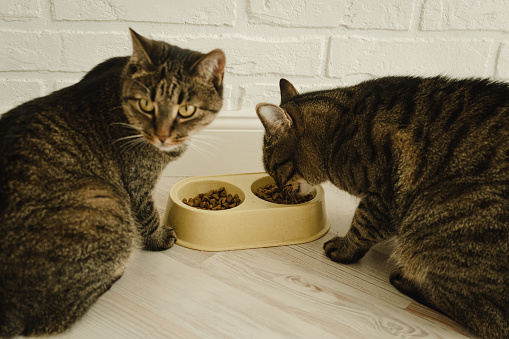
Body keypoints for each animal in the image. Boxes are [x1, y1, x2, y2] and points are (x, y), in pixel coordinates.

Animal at [0, 29, 226, 339]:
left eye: (187, 109)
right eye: (146, 104)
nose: (163, 135)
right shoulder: (136, 185)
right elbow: (148, 217)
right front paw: (159, 239)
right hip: (105, 199)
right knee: (53, 318)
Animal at [258, 77, 508, 339]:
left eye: (273, 168)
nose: (279, 190)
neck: (336, 132)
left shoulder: (383, 195)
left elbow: (362, 225)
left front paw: (344, 248)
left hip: (432, 217)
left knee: (484, 317)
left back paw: (406, 281)